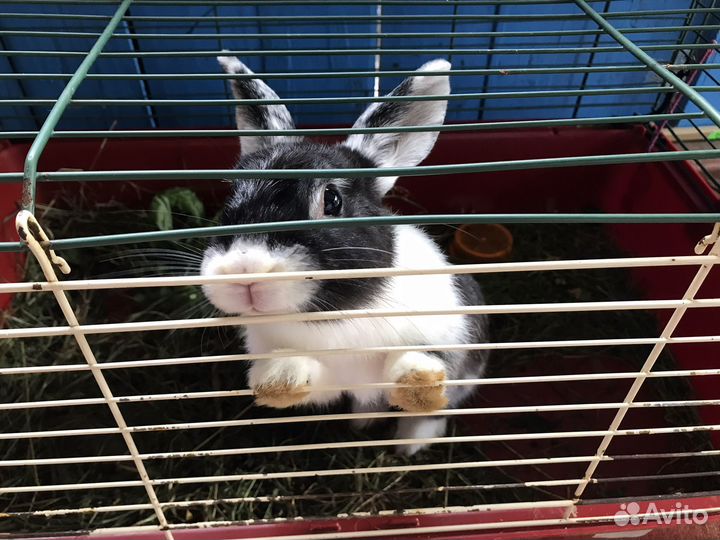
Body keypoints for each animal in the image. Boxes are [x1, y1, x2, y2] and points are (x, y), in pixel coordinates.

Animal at [200, 55, 488, 455]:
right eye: (230, 200)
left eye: (332, 200)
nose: (244, 270)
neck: (336, 318)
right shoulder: (325, 377)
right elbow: (308, 378)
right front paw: (277, 379)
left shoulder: (450, 338)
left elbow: (421, 367)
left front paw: (418, 382)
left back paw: (407, 447)